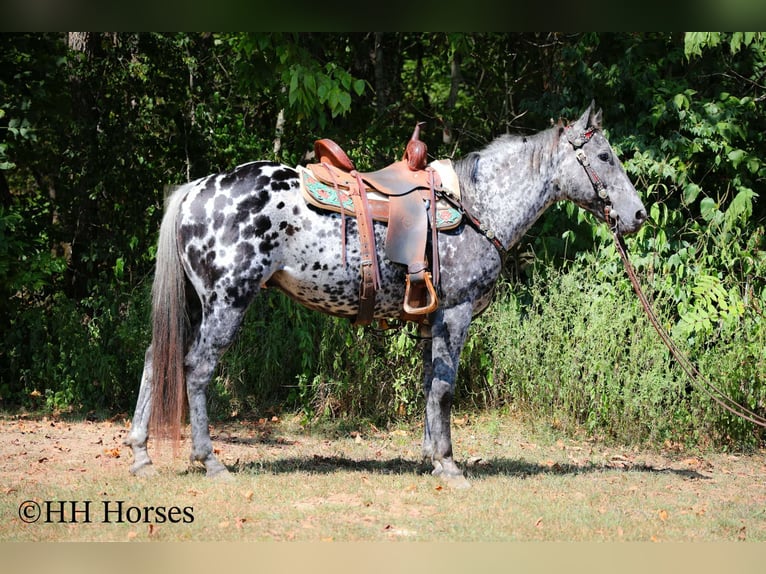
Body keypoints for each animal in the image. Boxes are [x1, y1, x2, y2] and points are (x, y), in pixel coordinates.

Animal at [124, 102, 647, 487]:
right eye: (605, 157)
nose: (639, 214)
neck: (478, 206)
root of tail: (196, 189)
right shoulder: (455, 315)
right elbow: (446, 388)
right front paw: (450, 466)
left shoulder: (431, 322)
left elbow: (430, 387)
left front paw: (431, 456)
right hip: (227, 302)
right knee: (196, 370)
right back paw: (210, 460)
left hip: (195, 305)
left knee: (155, 359)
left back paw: (140, 455)